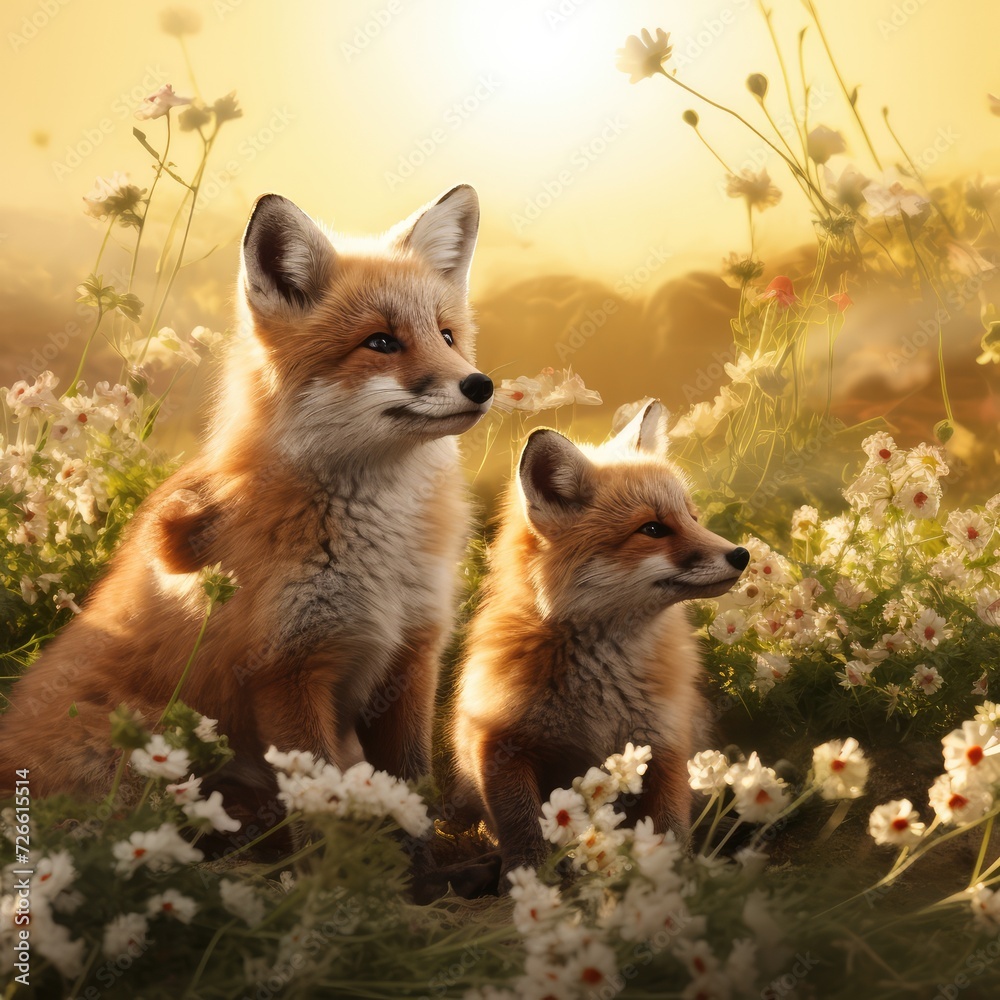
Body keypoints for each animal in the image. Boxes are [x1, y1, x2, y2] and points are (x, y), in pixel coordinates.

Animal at [0, 185, 494, 819]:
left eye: (447, 336)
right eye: (381, 342)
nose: (480, 385)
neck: (376, 555)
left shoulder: (412, 656)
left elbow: (412, 786)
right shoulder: (285, 673)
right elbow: (316, 806)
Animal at [450, 400, 748, 878]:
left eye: (693, 518)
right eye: (653, 529)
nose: (742, 555)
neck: (600, 694)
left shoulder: (665, 744)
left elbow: (669, 827)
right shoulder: (498, 745)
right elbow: (522, 829)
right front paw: (531, 882)